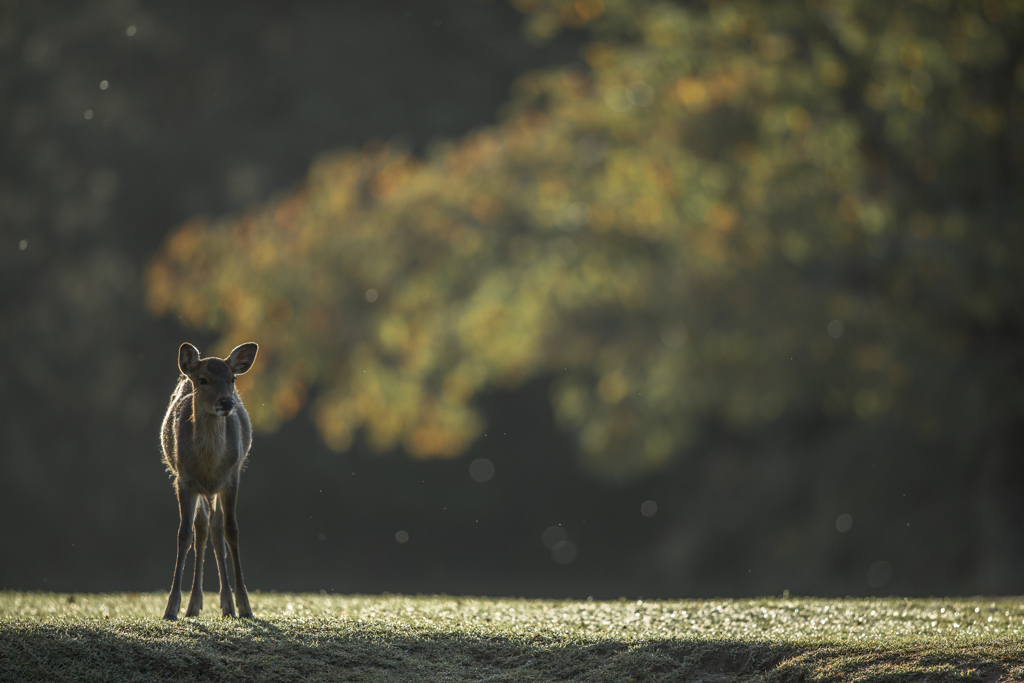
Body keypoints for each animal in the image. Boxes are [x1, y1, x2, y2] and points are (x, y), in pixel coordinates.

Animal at [159, 342, 258, 618]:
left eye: (232, 379)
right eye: (203, 380)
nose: (226, 402)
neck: (209, 465)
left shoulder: (232, 476)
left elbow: (231, 530)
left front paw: (245, 606)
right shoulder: (184, 480)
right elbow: (184, 534)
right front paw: (171, 607)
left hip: (216, 489)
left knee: (215, 529)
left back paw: (227, 605)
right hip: (199, 489)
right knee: (202, 529)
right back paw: (194, 605)